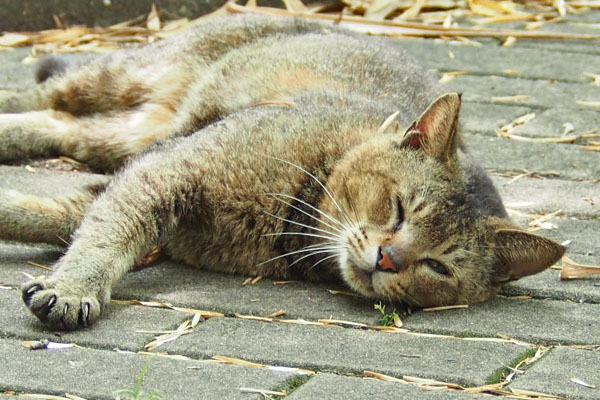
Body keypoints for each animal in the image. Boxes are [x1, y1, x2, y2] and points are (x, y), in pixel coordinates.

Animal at [0, 14, 564, 330]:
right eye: (399, 207)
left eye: (438, 267)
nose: (387, 258)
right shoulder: (167, 170)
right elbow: (104, 237)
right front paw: (74, 287)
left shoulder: (138, 176)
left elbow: (55, 217)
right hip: (122, 79)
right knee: (43, 92)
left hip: (124, 135)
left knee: (57, 124)